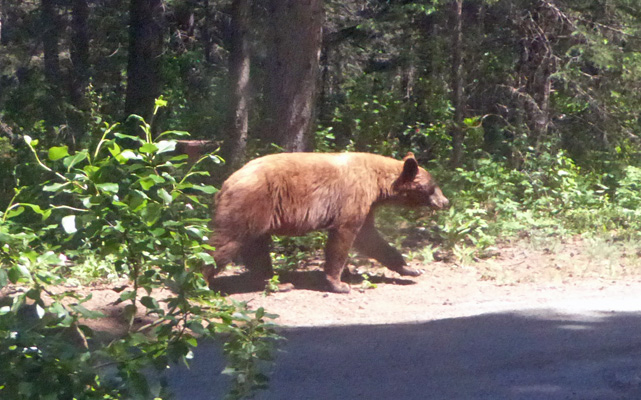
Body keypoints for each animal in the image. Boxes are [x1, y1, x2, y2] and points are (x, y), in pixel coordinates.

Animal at [202, 152, 448, 292]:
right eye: (433, 186)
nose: (445, 202)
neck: (378, 182)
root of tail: (225, 184)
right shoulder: (353, 197)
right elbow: (344, 236)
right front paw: (339, 284)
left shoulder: (367, 205)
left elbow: (371, 238)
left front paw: (411, 269)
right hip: (250, 204)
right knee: (225, 243)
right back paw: (199, 282)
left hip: (259, 215)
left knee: (257, 250)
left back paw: (278, 283)